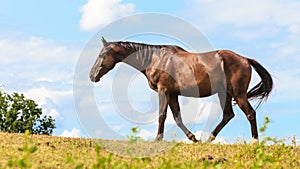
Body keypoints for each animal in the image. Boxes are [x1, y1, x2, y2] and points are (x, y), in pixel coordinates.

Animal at [90, 37, 274, 143]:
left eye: (102, 55)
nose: (92, 76)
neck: (155, 59)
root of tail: (246, 59)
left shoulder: (163, 90)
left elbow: (162, 116)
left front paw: (158, 139)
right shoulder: (172, 94)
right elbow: (177, 118)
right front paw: (193, 138)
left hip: (238, 94)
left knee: (250, 114)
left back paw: (254, 142)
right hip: (225, 94)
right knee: (228, 115)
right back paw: (208, 140)